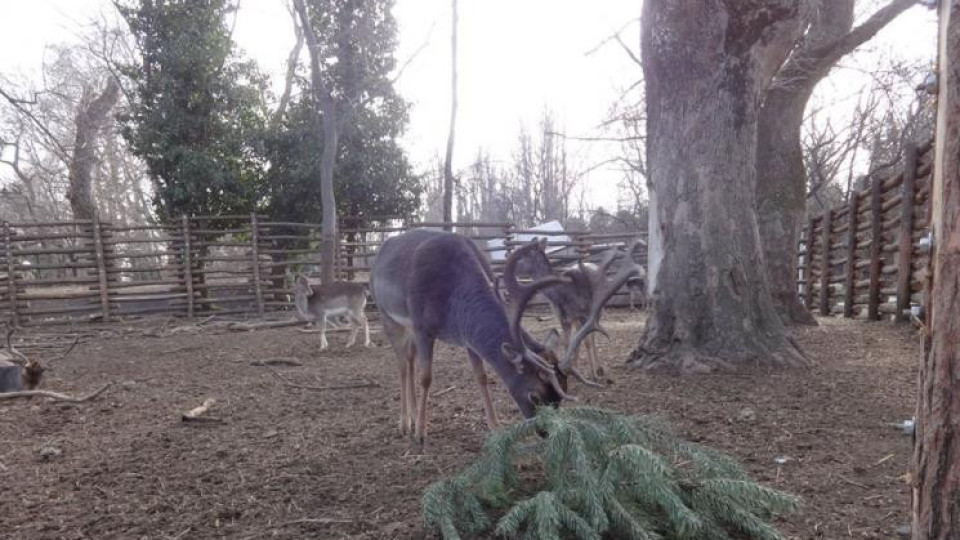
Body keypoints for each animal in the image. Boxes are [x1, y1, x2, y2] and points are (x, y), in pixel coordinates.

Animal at [372, 229, 612, 442]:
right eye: (534, 396)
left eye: (560, 397)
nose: (545, 432)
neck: (453, 309)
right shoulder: (423, 327)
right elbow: (426, 378)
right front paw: (421, 433)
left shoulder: (467, 339)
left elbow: (482, 377)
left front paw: (495, 427)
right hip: (387, 314)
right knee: (402, 365)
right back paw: (406, 424)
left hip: (408, 328)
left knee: (409, 359)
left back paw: (412, 415)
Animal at [510, 238, 644, 382]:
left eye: (523, 255)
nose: (512, 269)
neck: (560, 295)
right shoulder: (563, 318)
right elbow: (567, 342)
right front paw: (569, 370)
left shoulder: (583, 314)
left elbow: (587, 341)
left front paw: (594, 374)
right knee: (579, 337)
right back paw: (577, 365)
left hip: (597, 308)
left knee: (592, 335)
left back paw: (598, 369)